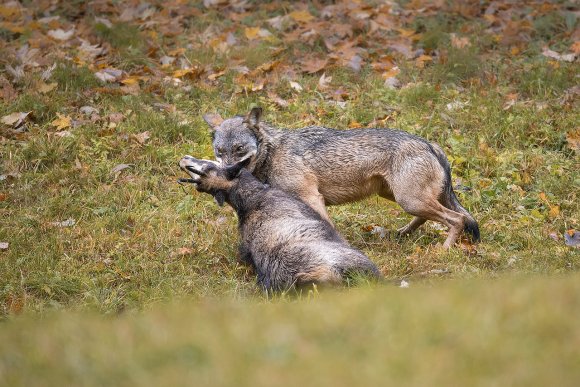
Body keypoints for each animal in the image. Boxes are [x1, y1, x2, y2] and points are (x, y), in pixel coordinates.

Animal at [204, 107, 480, 250]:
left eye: (239, 149)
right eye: (220, 152)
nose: (226, 172)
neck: (273, 152)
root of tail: (430, 144)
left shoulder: (312, 198)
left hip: (409, 200)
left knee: (457, 219)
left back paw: (444, 250)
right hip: (401, 198)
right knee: (433, 217)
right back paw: (402, 234)